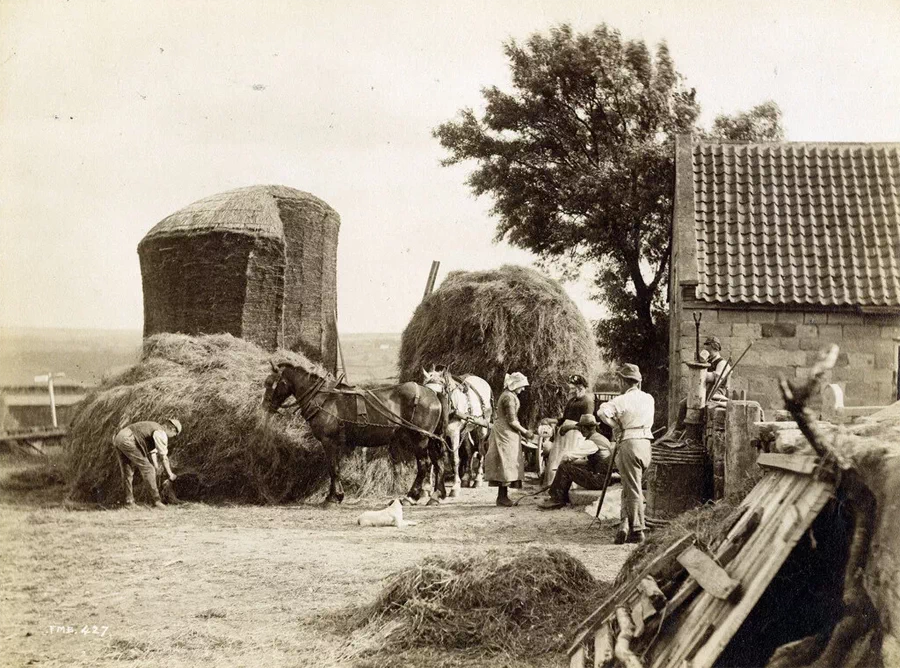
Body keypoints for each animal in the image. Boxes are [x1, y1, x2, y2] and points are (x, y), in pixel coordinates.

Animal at [260, 362, 446, 504]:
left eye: (271, 383)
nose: (265, 406)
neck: (323, 398)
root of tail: (432, 393)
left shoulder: (328, 441)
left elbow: (333, 468)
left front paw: (333, 497)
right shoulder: (336, 443)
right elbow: (334, 467)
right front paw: (334, 495)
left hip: (420, 438)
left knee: (424, 465)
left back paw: (411, 495)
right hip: (428, 440)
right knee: (437, 463)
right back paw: (434, 495)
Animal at [420, 366, 492, 496]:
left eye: (441, 393)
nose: (431, 410)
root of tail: (481, 380)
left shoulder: (453, 434)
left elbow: (454, 459)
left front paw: (455, 487)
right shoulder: (434, 435)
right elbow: (433, 459)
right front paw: (427, 486)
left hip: (482, 427)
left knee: (480, 450)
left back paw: (477, 479)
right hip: (466, 429)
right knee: (469, 450)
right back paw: (466, 478)